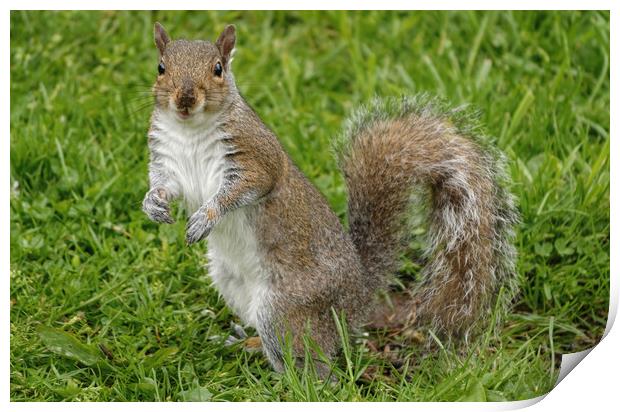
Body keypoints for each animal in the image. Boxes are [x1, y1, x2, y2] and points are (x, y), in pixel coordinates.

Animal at [143, 23, 520, 374]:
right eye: (161, 67)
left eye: (218, 68)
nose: (185, 98)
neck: (191, 131)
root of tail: (356, 299)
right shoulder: (167, 162)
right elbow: (165, 186)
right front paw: (153, 204)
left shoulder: (257, 157)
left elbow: (246, 187)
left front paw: (206, 216)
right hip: (231, 282)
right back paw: (244, 343)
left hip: (285, 309)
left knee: (316, 363)